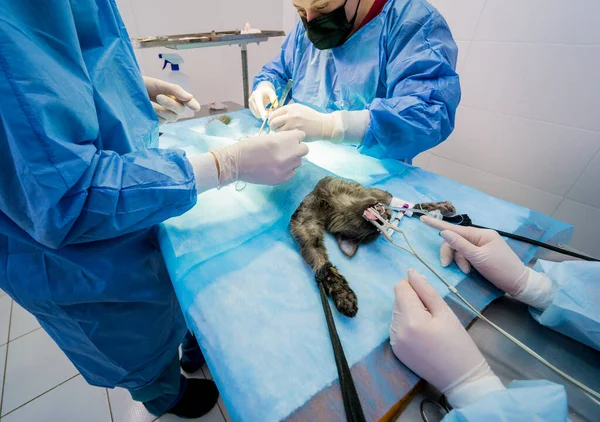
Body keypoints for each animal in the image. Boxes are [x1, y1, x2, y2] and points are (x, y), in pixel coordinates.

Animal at [290, 176, 454, 318]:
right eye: (375, 228)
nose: (388, 217)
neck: (336, 204)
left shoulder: (375, 193)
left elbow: (403, 204)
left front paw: (439, 208)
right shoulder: (306, 227)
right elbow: (323, 265)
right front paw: (344, 296)